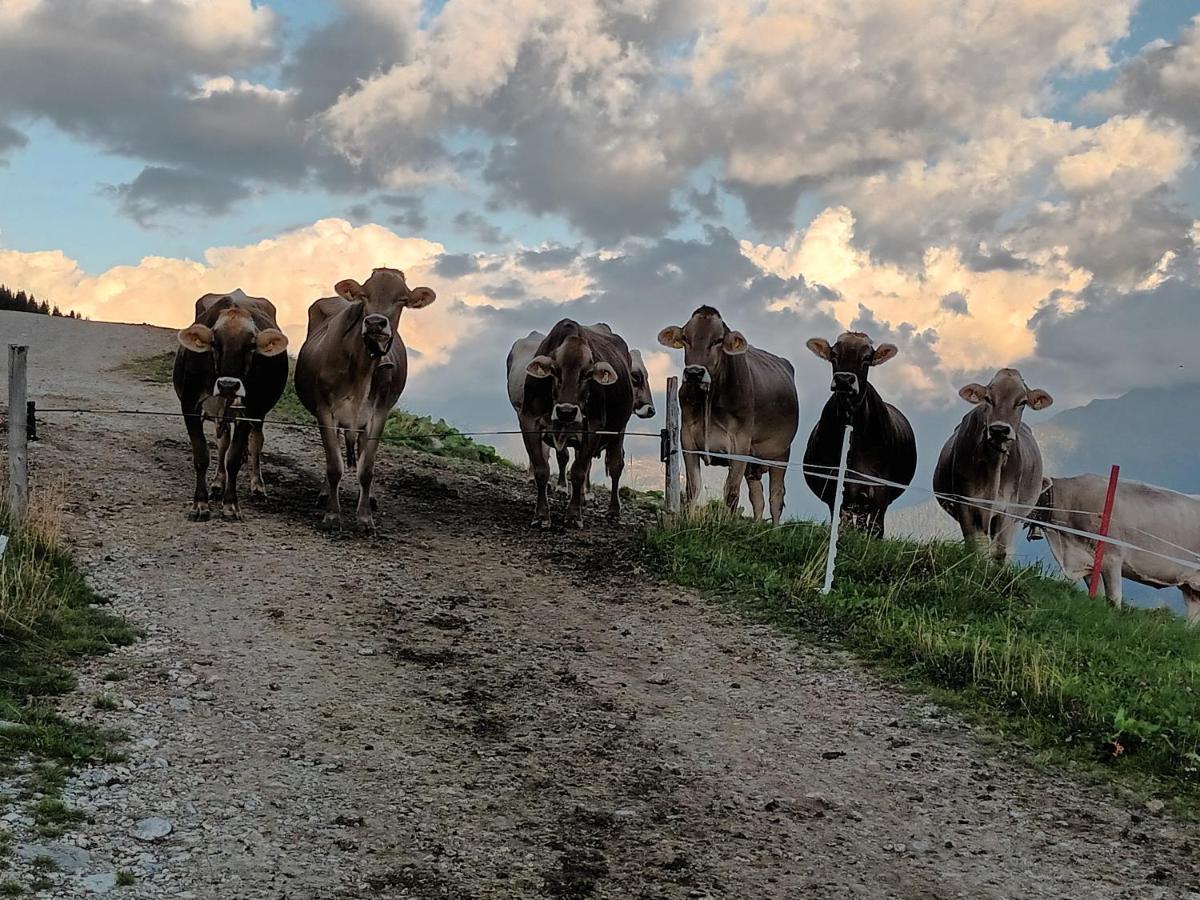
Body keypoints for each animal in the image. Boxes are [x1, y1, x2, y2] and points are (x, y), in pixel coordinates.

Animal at [172, 290, 289, 520]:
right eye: (215, 343)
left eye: (251, 346)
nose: (228, 385)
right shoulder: (190, 405)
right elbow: (202, 454)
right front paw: (200, 503)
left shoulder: (248, 408)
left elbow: (234, 458)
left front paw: (231, 504)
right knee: (223, 443)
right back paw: (218, 483)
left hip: (257, 413)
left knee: (255, 442)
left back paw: (257, 486)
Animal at [294, 267, 436, 535]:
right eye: (364, 295)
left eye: (401, 299)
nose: (375, 323)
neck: (362, 369)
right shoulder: (325, 410)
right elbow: (334, 465)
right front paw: (332, 514)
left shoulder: (379, 413)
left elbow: (366, 468)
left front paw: (364, 517)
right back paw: (325, 493)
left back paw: (368, 498)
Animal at [931, 369, 1056, 561]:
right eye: (988, 399)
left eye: (1022, 402)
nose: (999, 429)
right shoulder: (964, 502)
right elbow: (975, 547)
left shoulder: (1008, 508)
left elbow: (1000, 552)